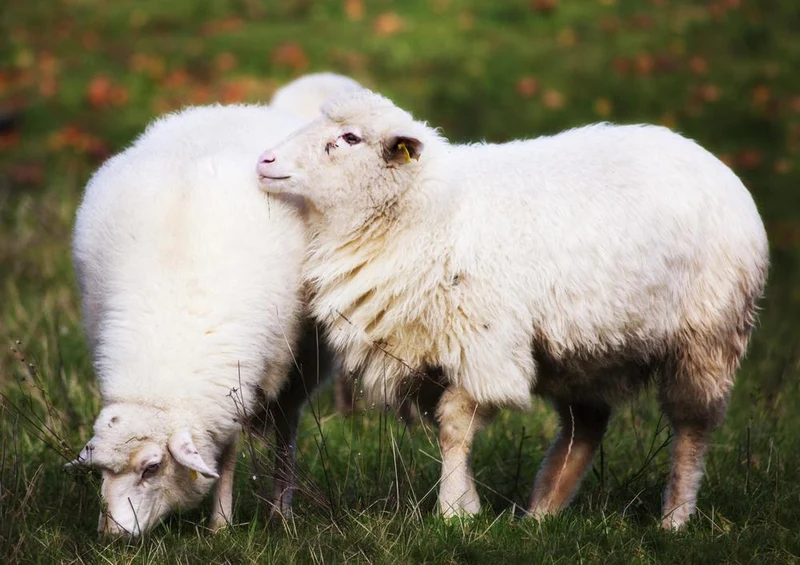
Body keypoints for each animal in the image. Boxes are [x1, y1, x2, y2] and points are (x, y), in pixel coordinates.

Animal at [68, 72, 363, 536]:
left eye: (152, 468)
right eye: (101, 472)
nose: (112, 535)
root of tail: (235, 108)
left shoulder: (241, 379)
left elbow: (225, 456)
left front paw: (220, 525)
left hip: (304, 360)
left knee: (288, 425)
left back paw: (281, 508)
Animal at [255, 88, 769, 529]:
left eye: (349, 138)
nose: (265, 161)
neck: (426, 213)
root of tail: (706, 157)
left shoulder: (484, 344)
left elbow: (453, 429)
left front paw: (454, 512)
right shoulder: (430, 347)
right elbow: (447, 426)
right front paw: (467, 506)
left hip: (706, 337)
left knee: (691, 429)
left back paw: (674, 519)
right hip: (586, 348)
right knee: (585, 428)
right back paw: (542, 514)